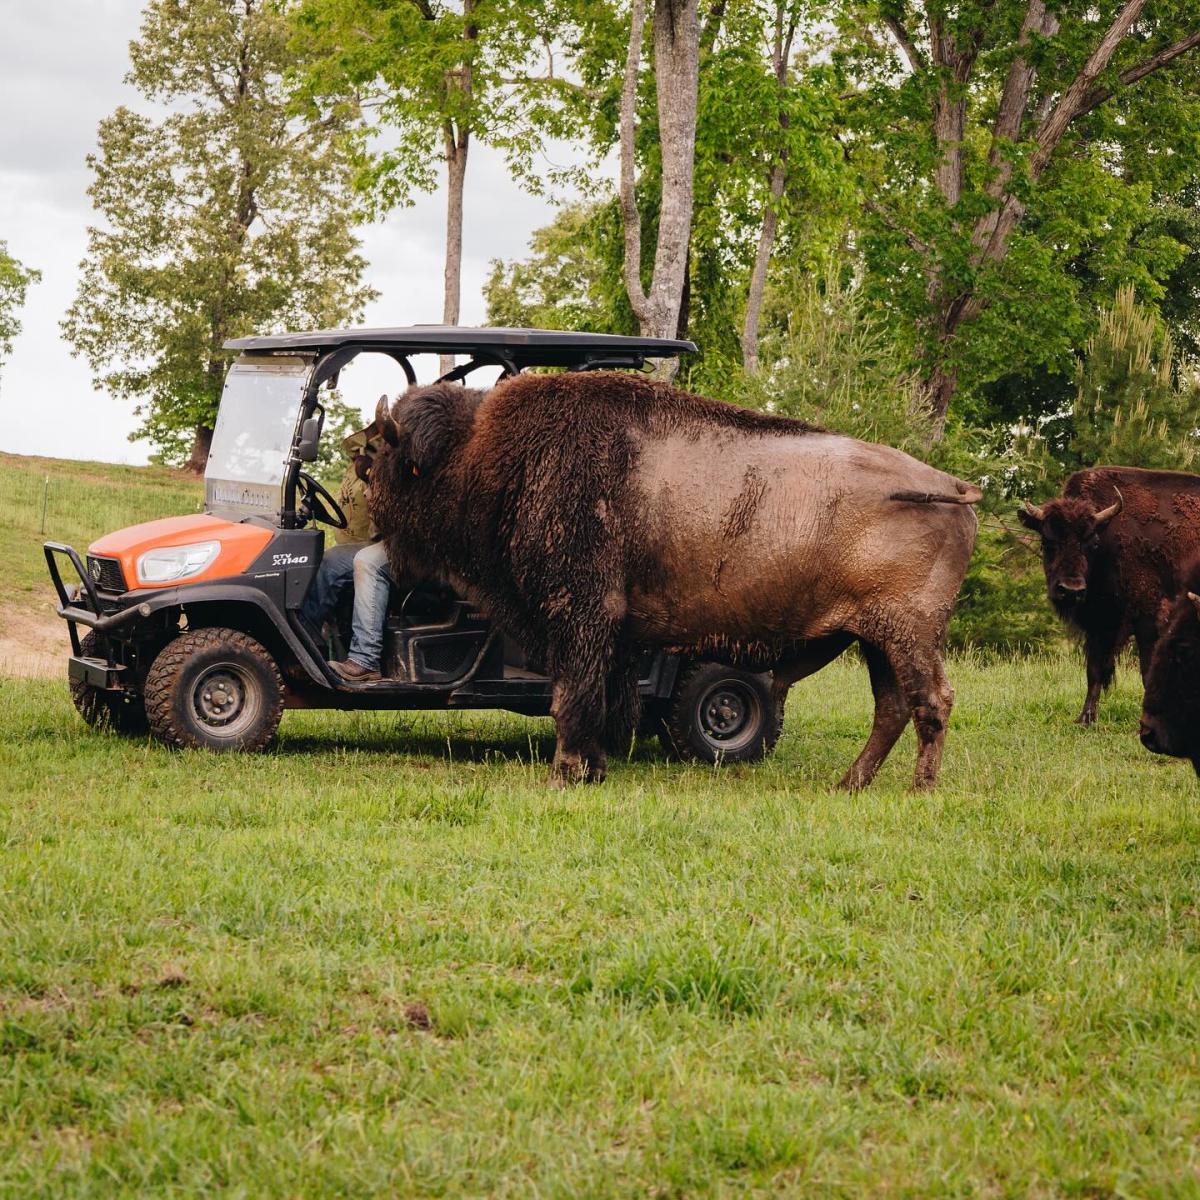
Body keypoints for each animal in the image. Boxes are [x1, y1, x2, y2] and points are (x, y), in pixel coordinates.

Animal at [369, 372, 981, 788]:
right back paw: (848, 785)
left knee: (932, 701)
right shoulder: (613, 634)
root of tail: (951, 485)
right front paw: (595, 768)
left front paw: (566, 772)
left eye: (386, 461)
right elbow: (603, 698)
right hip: (877, 639)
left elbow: (572, 696)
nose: (369, 509)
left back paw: (919, 790)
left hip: (909, 635)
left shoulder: (580, 615)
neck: (489, 450)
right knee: (893, 707)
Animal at [1018, 466, 1200, 725]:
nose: (1070, 589)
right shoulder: (1099, 624)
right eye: (1047, 541)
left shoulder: (1147, 618)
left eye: (1092, 543)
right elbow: (1094, 670)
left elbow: (1147, 670)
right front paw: (1085, 718)